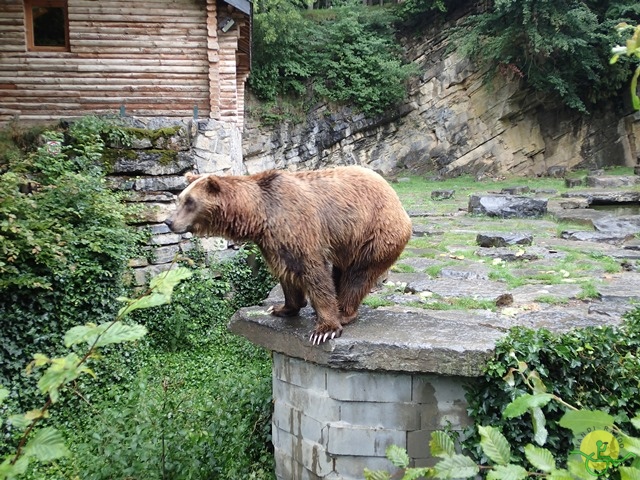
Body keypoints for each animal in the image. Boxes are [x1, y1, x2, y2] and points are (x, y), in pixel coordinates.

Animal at [165, 166, 412, 344]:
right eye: (180, 198)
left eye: (190, 201)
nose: (169, 221)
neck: (258, 215)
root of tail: (396, 199)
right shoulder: (272, 241)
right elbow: (285, 271)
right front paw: (281, 308)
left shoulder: (296, 225)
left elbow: (312, 271)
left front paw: (325, 329)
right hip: (347, 243)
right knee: (341, 272)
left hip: (374, 234)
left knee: (358, 276)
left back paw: (344, 312)